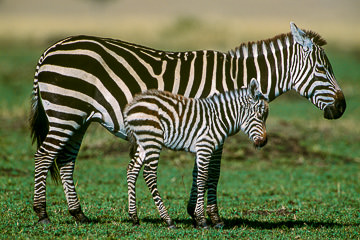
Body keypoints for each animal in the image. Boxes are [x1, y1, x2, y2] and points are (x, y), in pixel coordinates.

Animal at [124, 78, 268, 228]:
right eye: (259, 116)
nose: (264, 142)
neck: (220, 118)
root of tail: (132, 105)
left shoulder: (204, 149)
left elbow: (201, 176)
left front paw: (199, 216)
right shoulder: (205, 146)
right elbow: (202, 178)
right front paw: (201, 219)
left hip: (144, 142)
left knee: (132, 169)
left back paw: (134, 217)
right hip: (152, 139)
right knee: (149, 174)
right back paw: (167, 219)